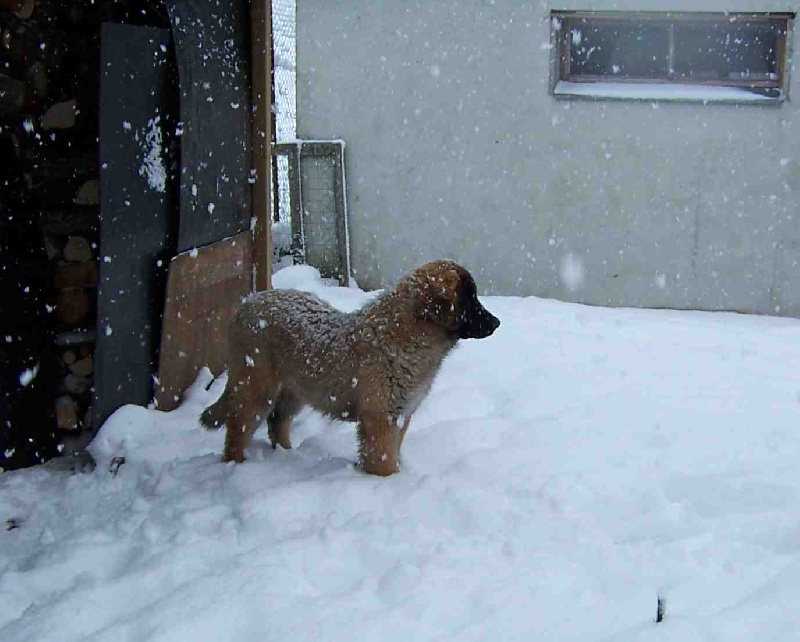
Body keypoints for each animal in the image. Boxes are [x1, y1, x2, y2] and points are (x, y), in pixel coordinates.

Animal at [200, 260, 500, 475]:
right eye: (470, 298)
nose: (497, 323)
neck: (410, 335)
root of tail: (247, 303)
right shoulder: (380, 419)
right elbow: (383, 459)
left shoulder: (401, 416)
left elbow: (393, 451)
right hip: (256, 384)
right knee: (238, 426)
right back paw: (236, 465)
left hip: (295, 389)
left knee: (278, 421)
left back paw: (287, 455)